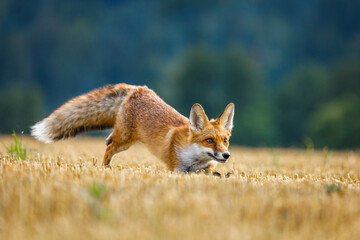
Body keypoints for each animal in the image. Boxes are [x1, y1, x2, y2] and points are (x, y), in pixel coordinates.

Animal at [30, 83, 233, 175]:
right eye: (209, 140)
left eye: (225, 140)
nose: (226, 155)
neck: (193, 158)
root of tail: (137, 88)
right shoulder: (176, 169)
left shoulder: (204, 169)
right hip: (125, 140)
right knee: (109, 148)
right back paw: (105, 168)